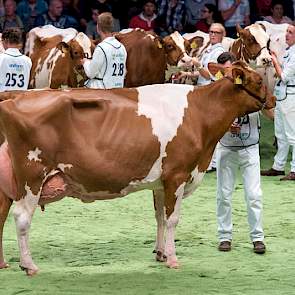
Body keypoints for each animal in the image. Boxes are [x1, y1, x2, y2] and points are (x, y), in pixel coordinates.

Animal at [0, 61, 276, 276]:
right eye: (258, 80)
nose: (273, 99)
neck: (200, 112)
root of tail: (16, 96)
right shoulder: (177, 175)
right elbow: (173, 219)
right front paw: (173, 260)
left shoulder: (161, 182)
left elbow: (160, 217)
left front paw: (160, 253)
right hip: (32, 177)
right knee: (21, 218)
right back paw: (29, 266)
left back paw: (4, 264)